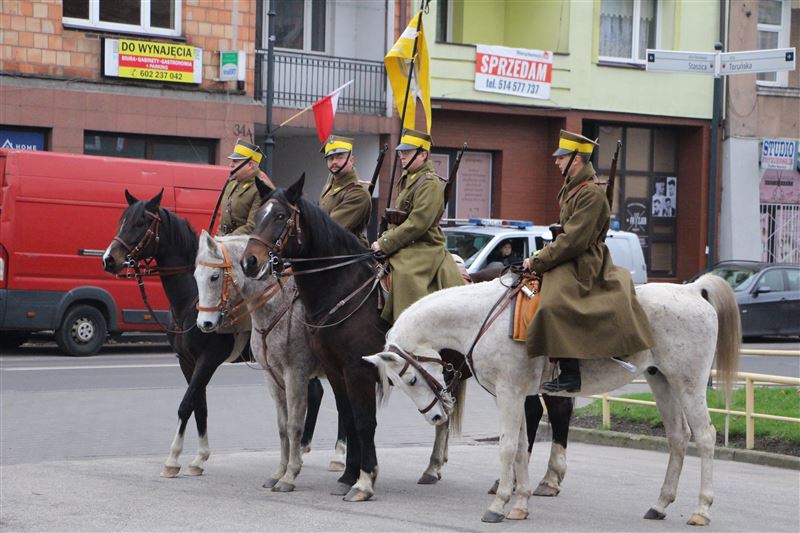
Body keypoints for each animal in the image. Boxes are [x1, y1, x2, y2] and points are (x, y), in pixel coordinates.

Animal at [101, 190, 327, 480]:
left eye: (140, 223)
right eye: (122, 220)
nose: (109, 259)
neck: (191, 298)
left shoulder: (208, 359)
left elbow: (186, 403)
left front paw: (173, 459)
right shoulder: (186, 361)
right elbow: (200, 406)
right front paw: (199, 458)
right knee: (316, 392)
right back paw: (304, 446)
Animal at [194, 231, 347, 491]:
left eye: (214, 276)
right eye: (195, 276)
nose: (205, 323)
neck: (277, 307)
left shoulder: (294, 374)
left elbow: (294, 424)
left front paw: (290, 475)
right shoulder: (272, 376)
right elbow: (282, 426)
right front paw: (279, 472)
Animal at [239, 175, 577, 502]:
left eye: (281, 216)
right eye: (258, 215)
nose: (249, 262)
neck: (345, 290)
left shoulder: (359, 370)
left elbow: (364, 421)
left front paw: (364, 480)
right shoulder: (336, 371)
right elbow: (348, 418)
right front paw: (348, 475)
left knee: (553, 410)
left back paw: (547, 479)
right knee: (530, 413)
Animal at [365, 272, 741, 525]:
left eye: (411, 378)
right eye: (401, 383)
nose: (436, 417)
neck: (484, 319)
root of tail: (691, 289)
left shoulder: (510, 393)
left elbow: (507, 446)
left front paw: (499, 505)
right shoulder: (514, 396)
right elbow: (520, 447)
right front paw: (519, 504)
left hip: (688, 385)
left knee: (705, 437)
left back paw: (701, 509)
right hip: (661, 381)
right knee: (678, 438)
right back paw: (660, 504)